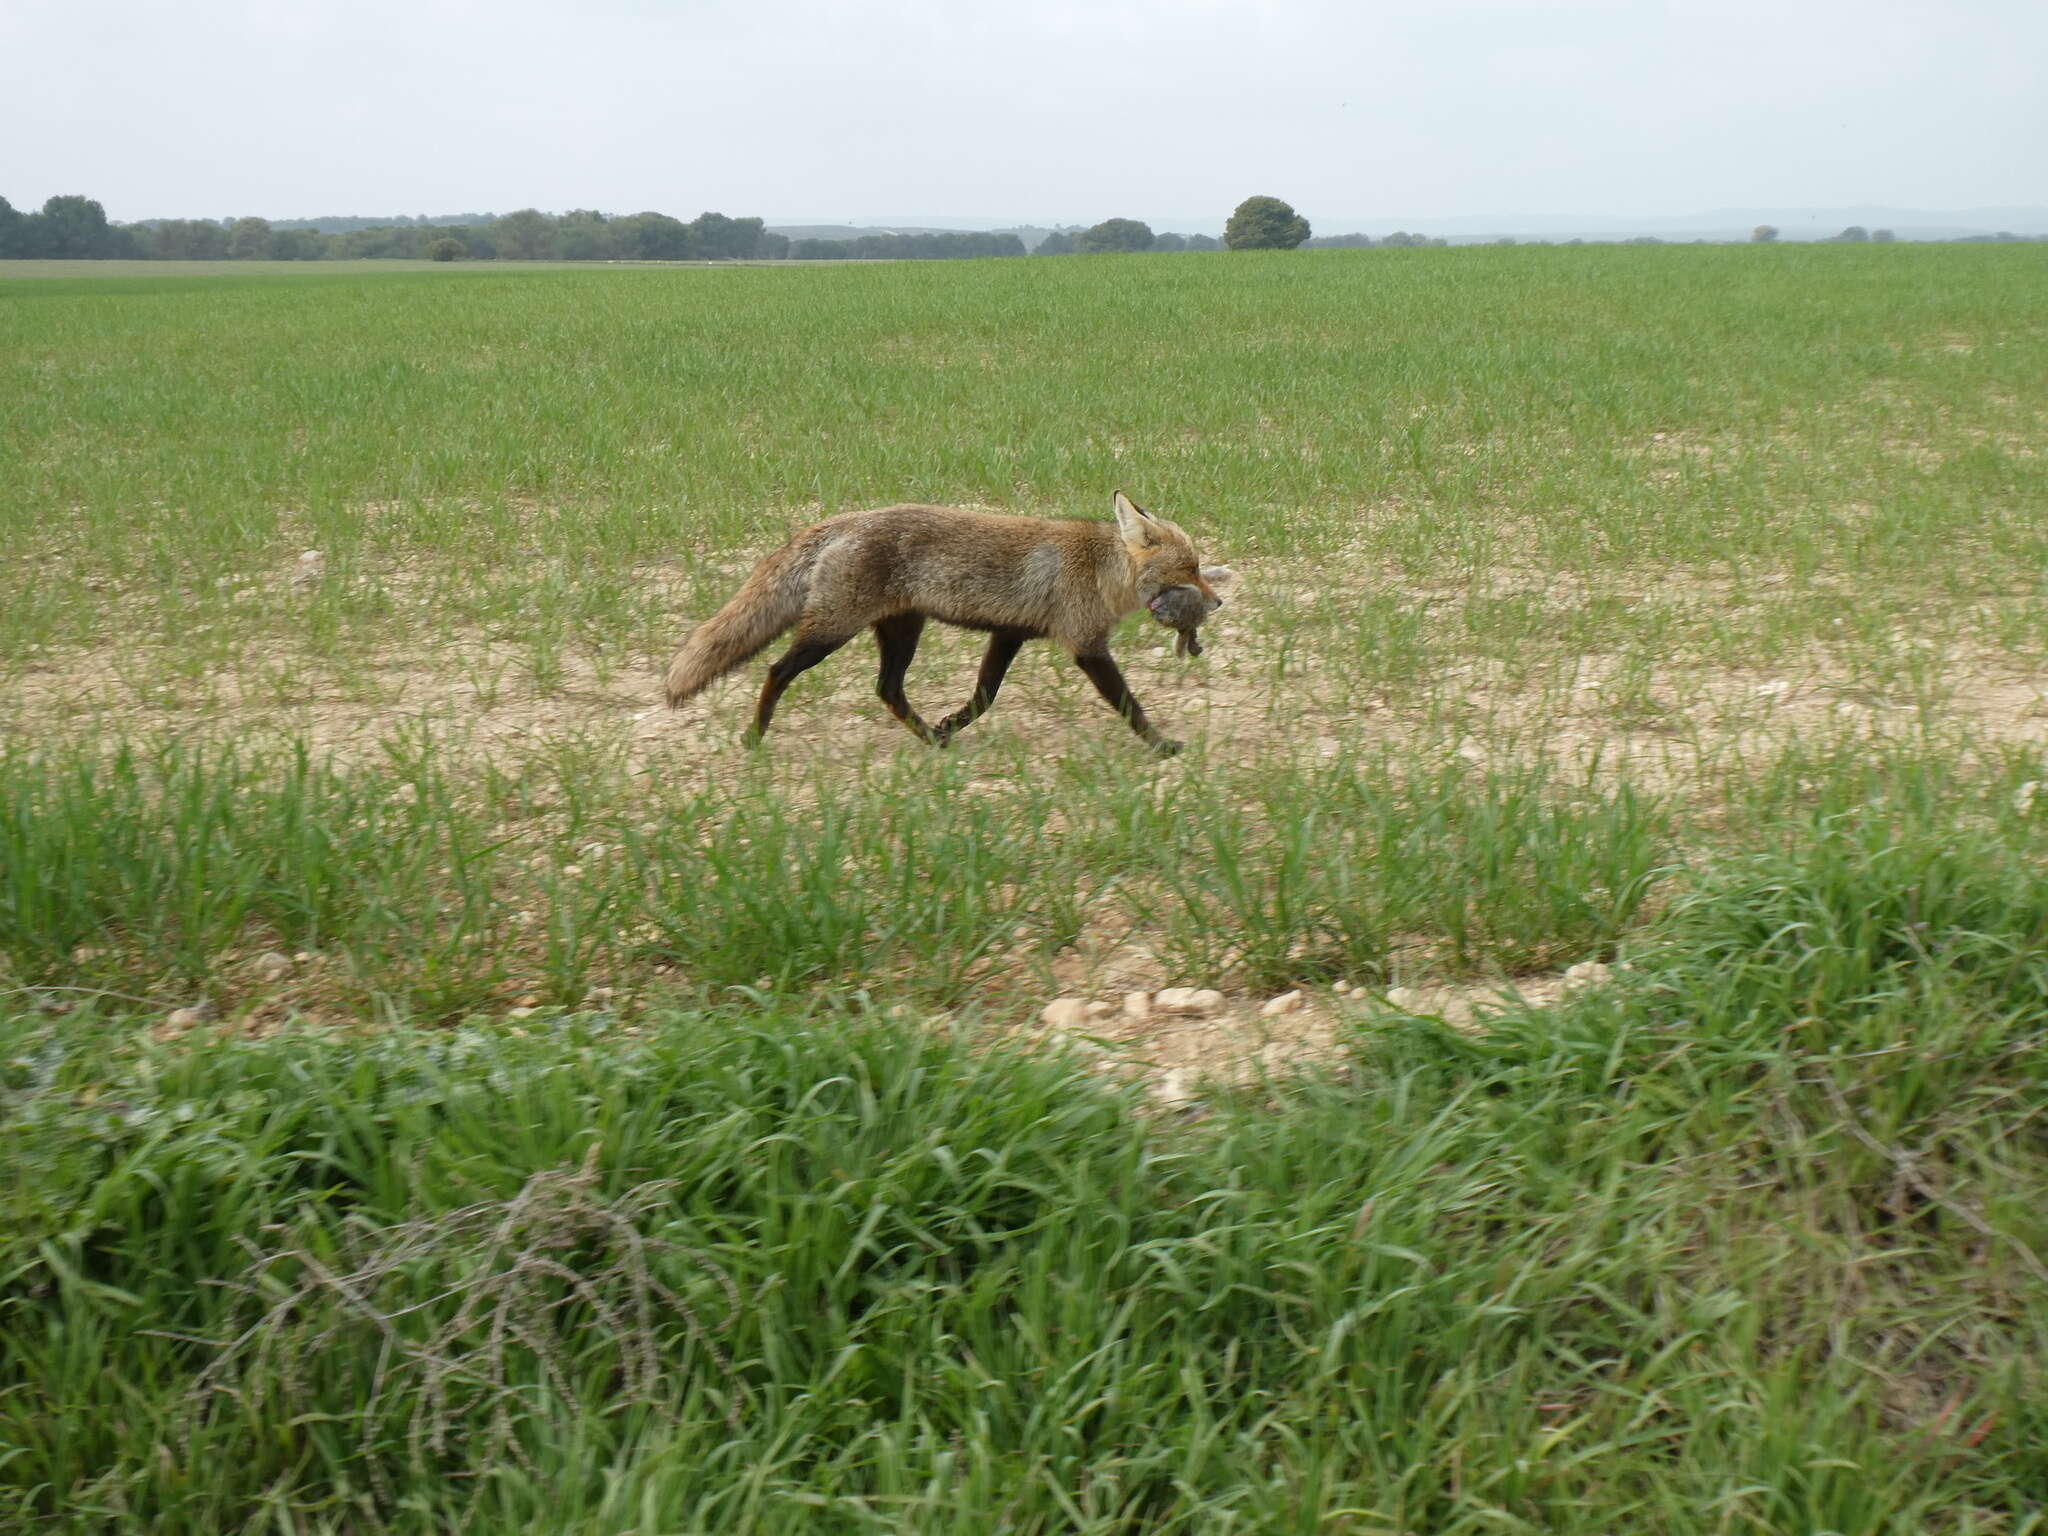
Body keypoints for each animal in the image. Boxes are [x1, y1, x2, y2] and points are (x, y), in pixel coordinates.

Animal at [663, 493, 1228, 757]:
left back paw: (930, 741)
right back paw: (755, 737)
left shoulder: (1010, 633)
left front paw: (948, 725)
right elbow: (1131, 706)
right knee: (777, 672)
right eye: (1193, 568)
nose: (1219, 600)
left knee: (887, 689)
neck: (1098, 572)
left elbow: (984, 697)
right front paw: (1162, 747)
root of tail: (844, 520)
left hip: (902, 632)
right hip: (830, 632)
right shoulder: (1086, 646)